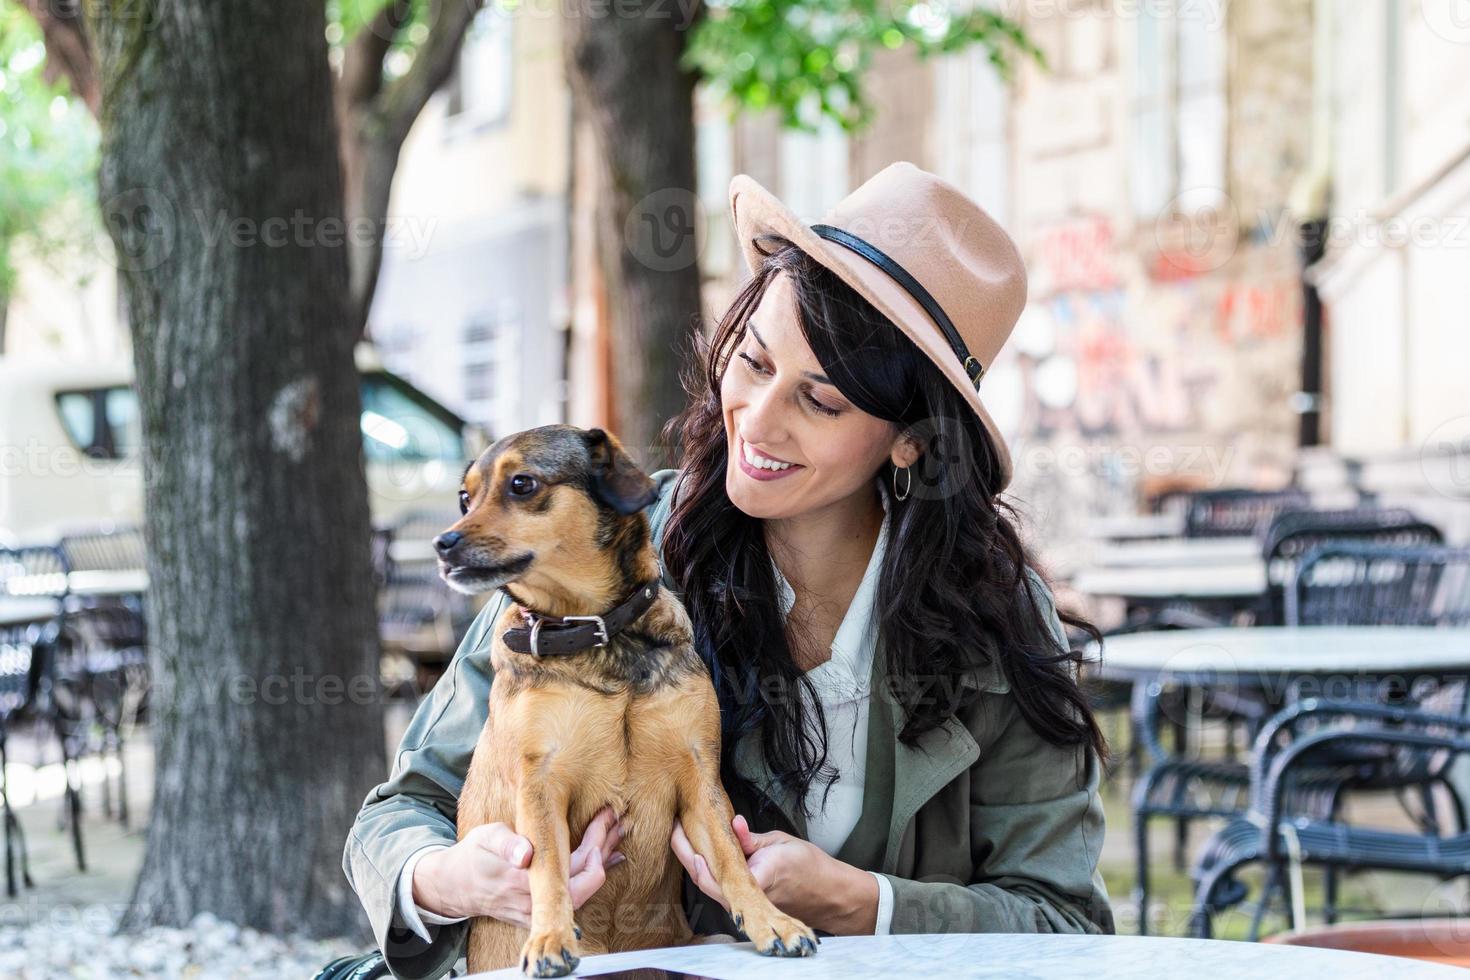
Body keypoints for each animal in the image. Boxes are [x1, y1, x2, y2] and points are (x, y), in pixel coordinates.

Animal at [435, 426, 823, 980]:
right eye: (465, 499)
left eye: (522, 484)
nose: (442, 544)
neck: (599, 633)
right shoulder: (540, 784)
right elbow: (548, 867)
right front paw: (549, 936)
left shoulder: (698, 779)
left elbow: (732, 858)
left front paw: (772, 919)